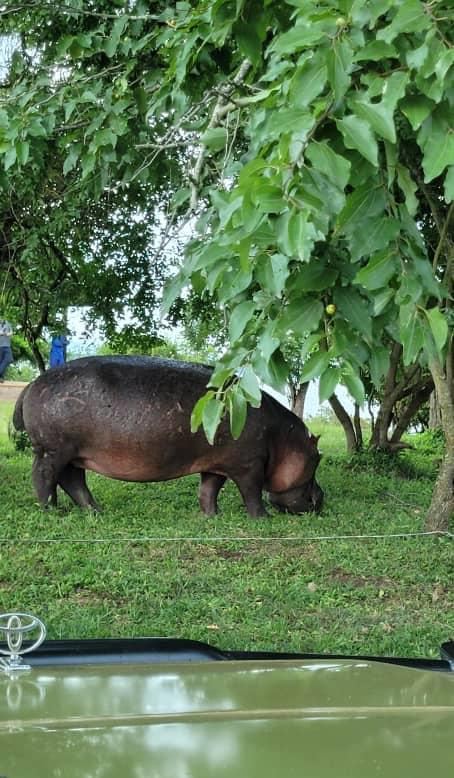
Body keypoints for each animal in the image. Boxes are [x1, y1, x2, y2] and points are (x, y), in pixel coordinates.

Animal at [13, 356, 323, 517]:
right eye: (317, 459)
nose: (322, 498)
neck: (283, 438)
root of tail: (32, 383)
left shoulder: (216, 463)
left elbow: (208, 490)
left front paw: (212, 517)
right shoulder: (249, 465)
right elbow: (252, 493)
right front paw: (262, 519)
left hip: (74, 453)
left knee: (73, 480)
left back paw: (94, 511)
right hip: (53, 450)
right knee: (44, 477)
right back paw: (50, 510)